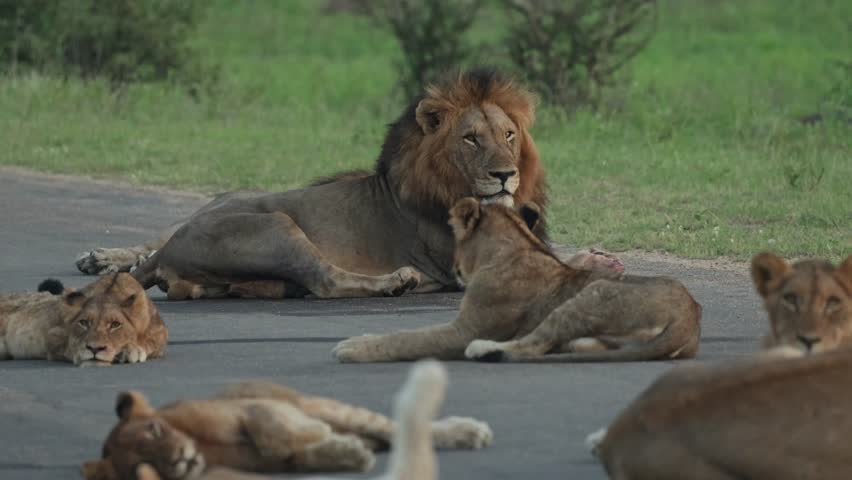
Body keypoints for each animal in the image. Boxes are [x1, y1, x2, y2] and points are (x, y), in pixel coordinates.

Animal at [0, 273, 167, 366]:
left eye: (115, 324)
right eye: (84, 323)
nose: (94, 349)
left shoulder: (159, 333)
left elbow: (150, 343)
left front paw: (130, 349)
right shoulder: (54, 334)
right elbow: (69, 346)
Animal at [74, 68, 549, 300]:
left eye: (509, 135)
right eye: (471, 138)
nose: (505, 175)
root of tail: (171, 249)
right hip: (276, 226)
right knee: (325, 281)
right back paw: (397, 281)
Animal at [81, 364, 492, 480]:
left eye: (154, 430)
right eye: (141, 464)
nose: (180, 460)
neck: (204, 449)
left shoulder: (254, 408)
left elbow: (272, 433)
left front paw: (319, 436)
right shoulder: (279, 464)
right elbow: (298, 455)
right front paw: (346, 453)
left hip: (325, 405)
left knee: (392, 425)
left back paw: (469, 431)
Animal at [333, 198, 697, 363]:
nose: (453, 268)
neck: (516, 246)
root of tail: (690, 317)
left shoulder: (464, 330)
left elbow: (408, 339)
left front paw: (352, 346)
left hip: (591, 294)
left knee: (531, 347)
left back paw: (485, 350)